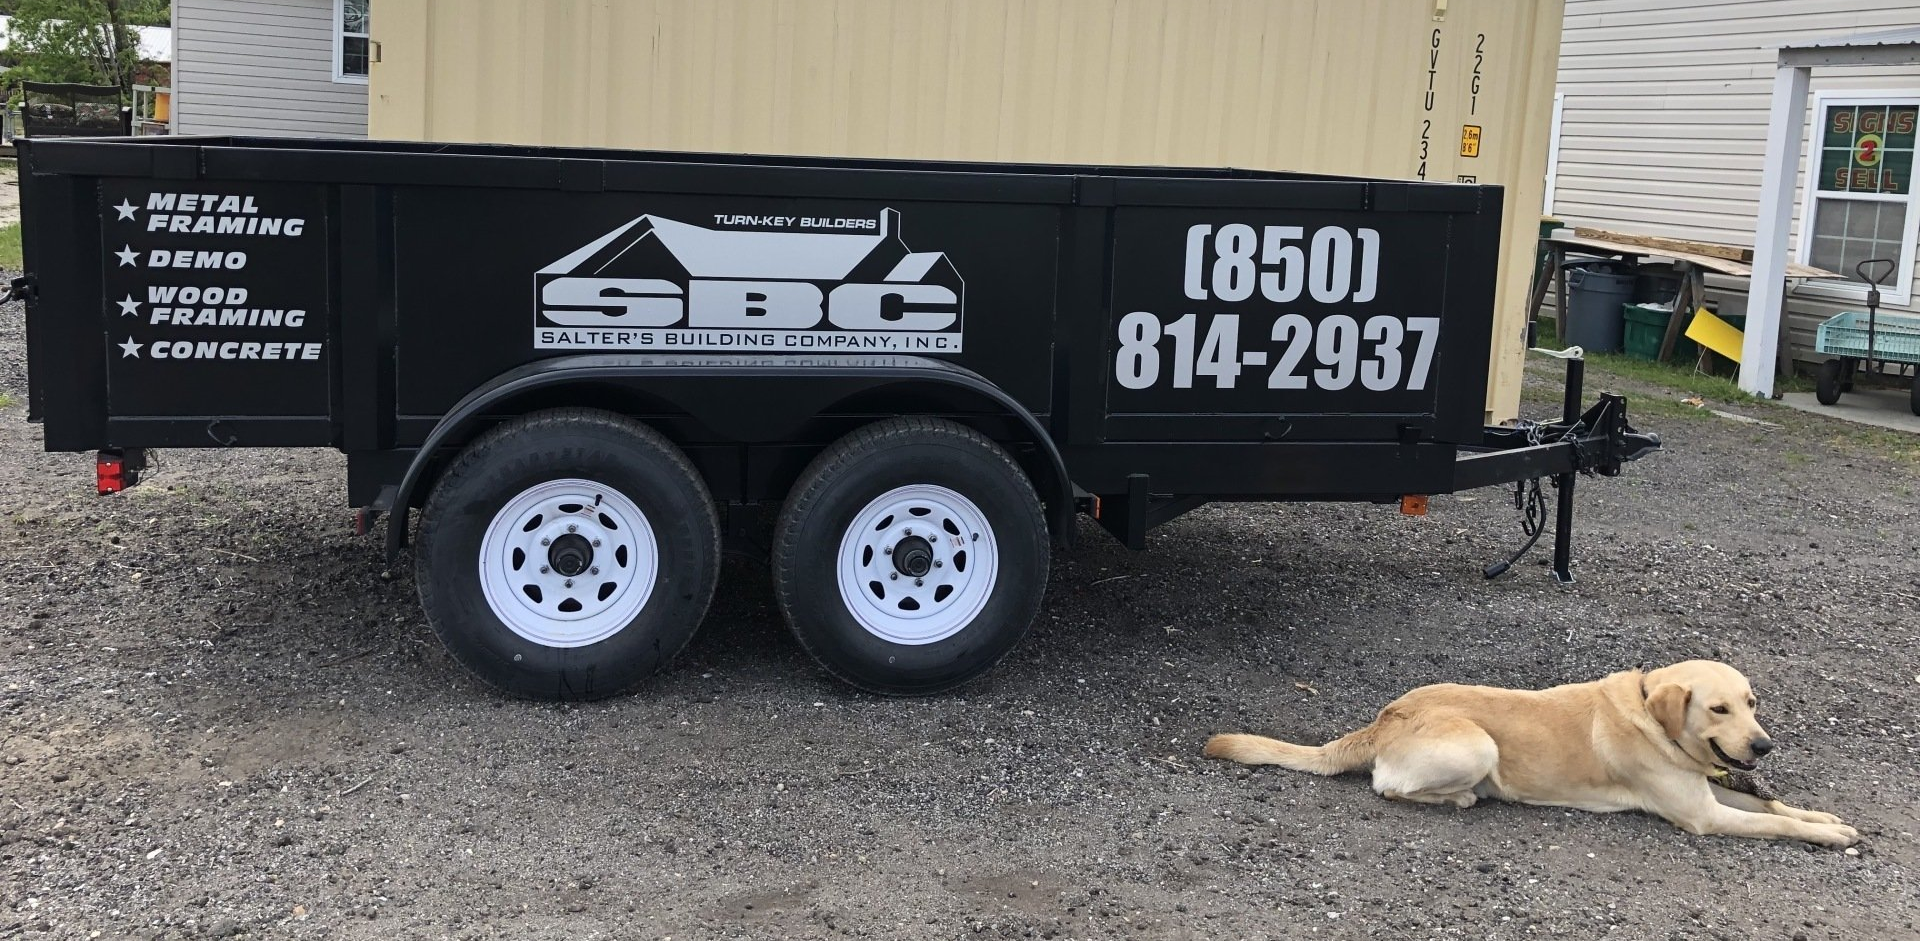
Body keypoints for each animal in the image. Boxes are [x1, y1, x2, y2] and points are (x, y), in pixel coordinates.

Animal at [1205, 656, 1850, 848]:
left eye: (1752, 703)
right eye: (1719, 710)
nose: (1764, 744)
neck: (1650, 714)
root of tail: (1385, 716)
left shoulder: (1708, 790)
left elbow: (1775, 807)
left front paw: (1826, 818)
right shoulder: (1703, 816)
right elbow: (1773, 823)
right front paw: (1824, 836)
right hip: (1477, 743)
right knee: (1388, 786)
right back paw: (1463, 798)